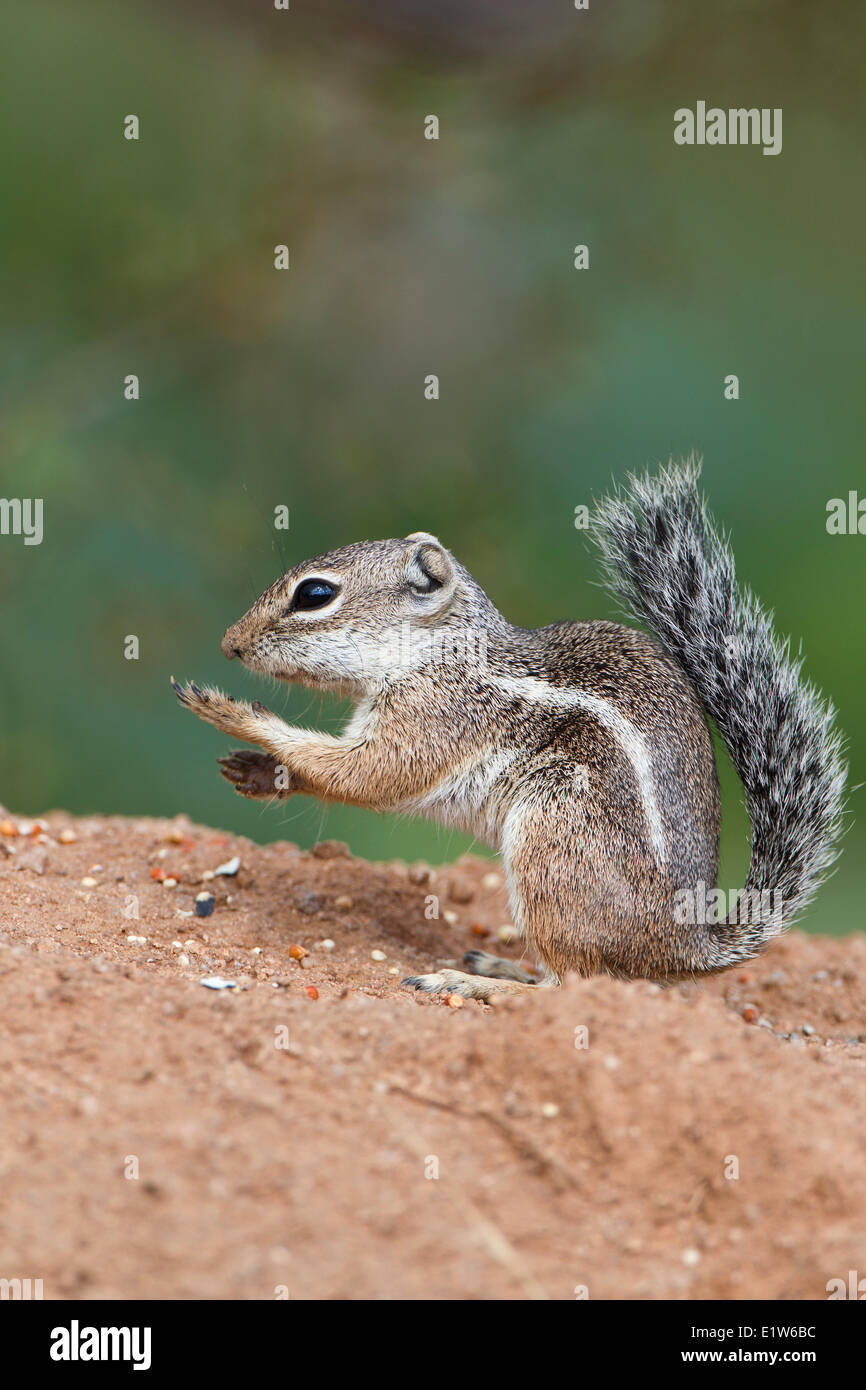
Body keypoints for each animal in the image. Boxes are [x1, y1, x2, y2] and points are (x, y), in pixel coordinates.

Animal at [173, 458, 850, 1000]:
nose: (231, 645)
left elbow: (370, 775)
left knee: (572, 983)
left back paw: (473, 982)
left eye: (315, 595)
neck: (441, 650)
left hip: (555, 841)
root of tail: (686, 947)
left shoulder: (436, 715)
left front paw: (231, 712)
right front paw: (256, 772)